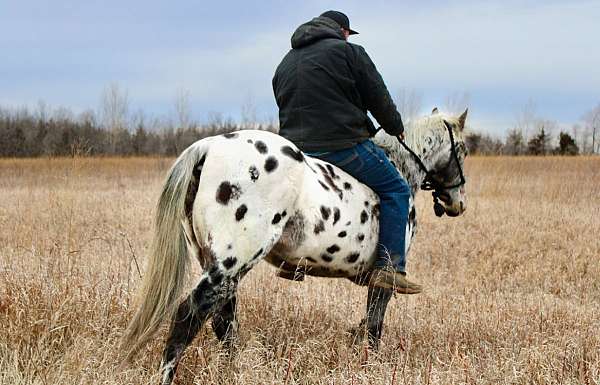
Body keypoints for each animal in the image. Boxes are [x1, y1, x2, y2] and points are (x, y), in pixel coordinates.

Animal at [120, 108, 468, 384]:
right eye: (462, 150)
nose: (457, 203)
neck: (401, 167)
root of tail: (209, 146)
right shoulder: (387, 273)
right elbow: (374, 322)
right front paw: (370, 362)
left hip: (221, 265)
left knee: (223, 320)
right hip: (231, 263)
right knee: (188, 316)